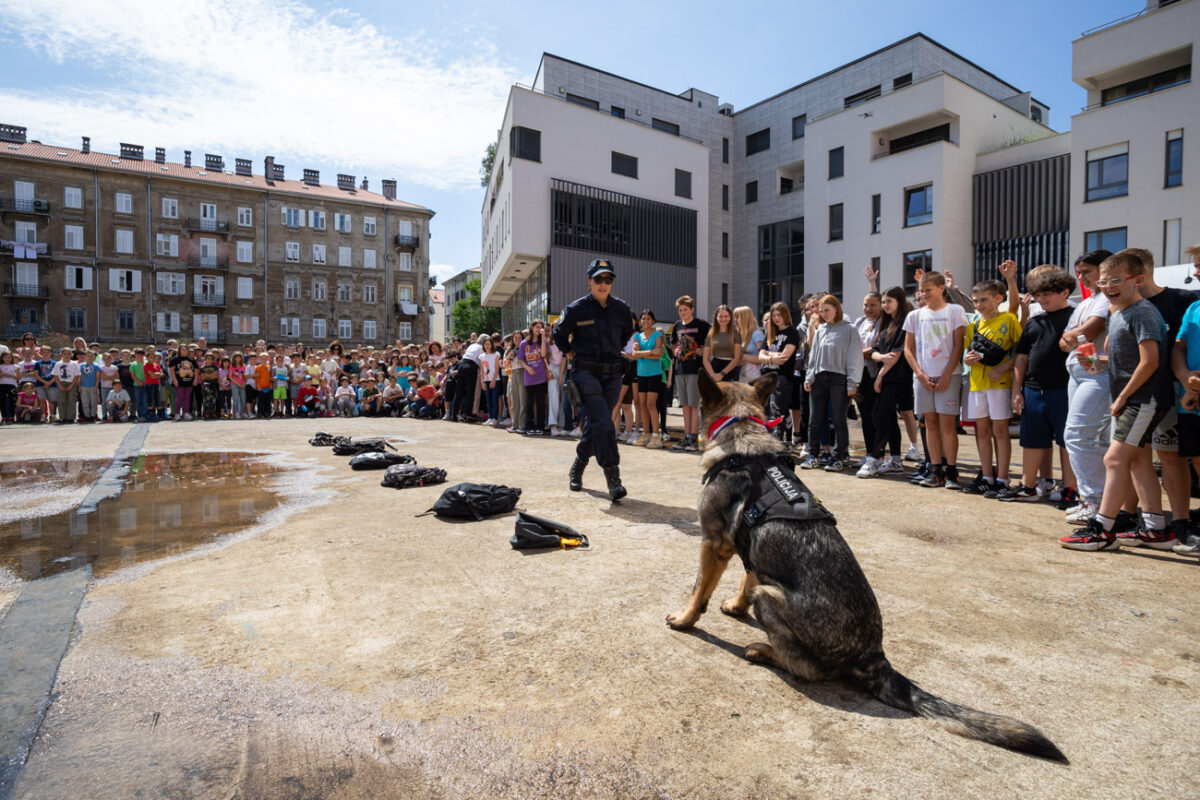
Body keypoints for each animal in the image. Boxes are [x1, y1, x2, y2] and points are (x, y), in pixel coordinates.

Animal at [667, 371, 1070, 767]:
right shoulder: (750, 545)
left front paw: (685, 620)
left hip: (771, 597)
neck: (742, 431)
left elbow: (699, 591)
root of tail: (874, 657)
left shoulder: (714, 544)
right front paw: (736, 607)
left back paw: (763, 651)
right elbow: (745, 577)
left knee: (810, 670)